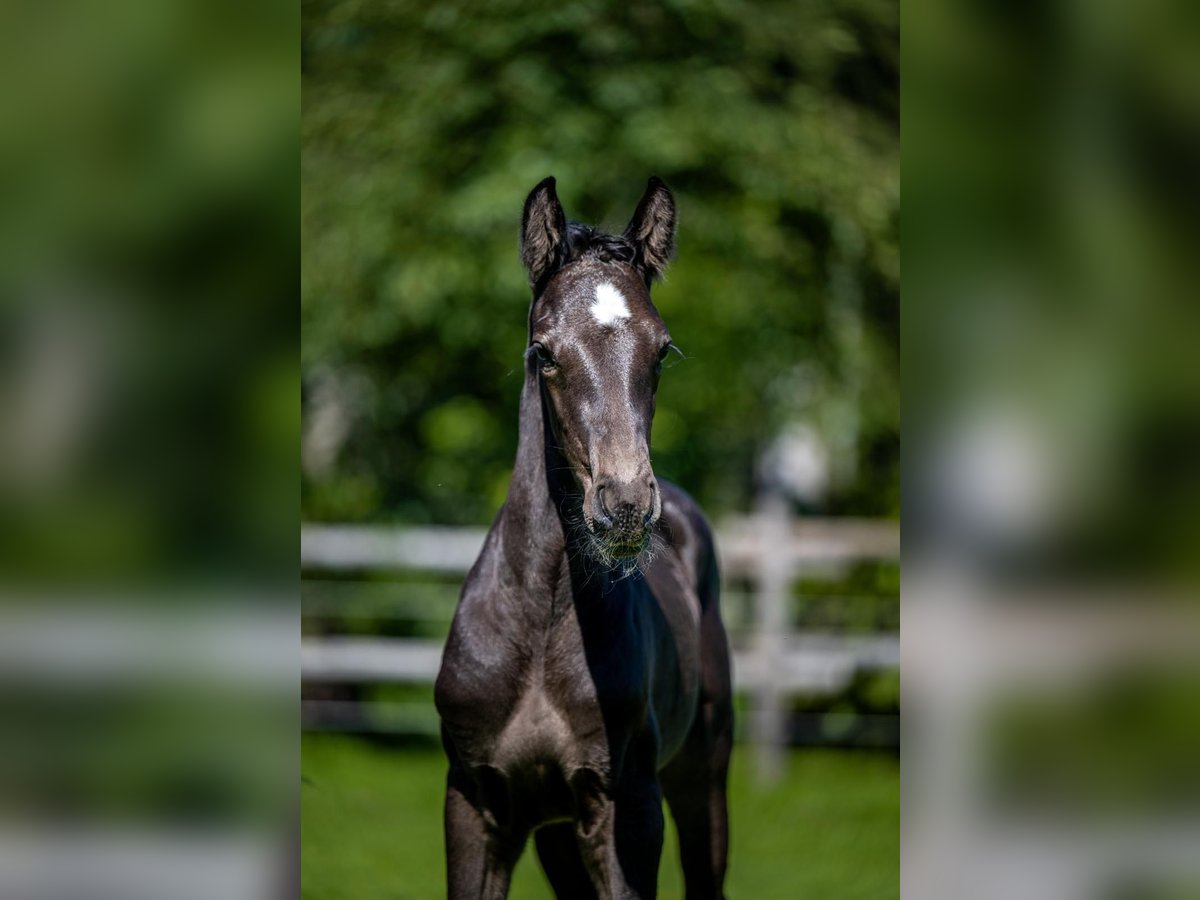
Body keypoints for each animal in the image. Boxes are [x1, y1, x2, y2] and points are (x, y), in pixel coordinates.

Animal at [434, 177, 729, 900]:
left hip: (704, 774)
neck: (538, 627)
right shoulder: (475, 802)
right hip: (557, 834)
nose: (624, 506)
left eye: (662, 350)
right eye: (544, 352)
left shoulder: (628, 808)